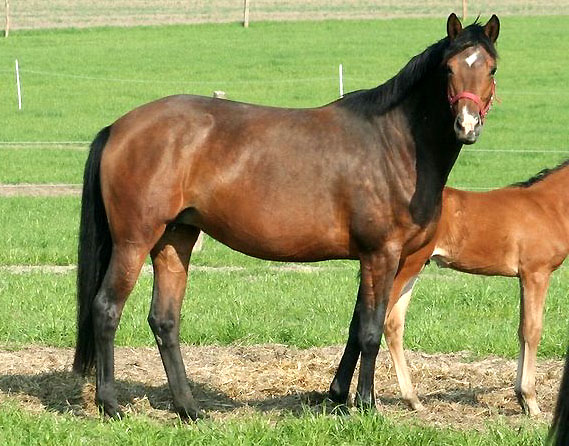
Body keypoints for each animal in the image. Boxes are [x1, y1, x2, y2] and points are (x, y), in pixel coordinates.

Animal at [73, 13, 500, 418]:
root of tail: (118, 128)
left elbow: (355, 326)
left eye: (492, 68)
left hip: (174, 239)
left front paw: (336, 396)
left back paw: (189, 410)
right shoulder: (382, 255)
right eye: (449, 68)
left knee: (164, 320)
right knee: (106, 309)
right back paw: (110, 405)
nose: (467, 125)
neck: (393, 143)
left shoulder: (372, 259)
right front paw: (365, 404)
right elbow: (371, 330)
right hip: (133, 242)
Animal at [380, 161, 569, 418]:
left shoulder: (524, 277)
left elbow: (522, 331)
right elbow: (533, 330)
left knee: (393, 325)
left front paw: (520, 397)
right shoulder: (536, 273)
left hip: (412, 268)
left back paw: (413, 400)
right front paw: (531, 402)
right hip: (407, 267)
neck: (548, 207)